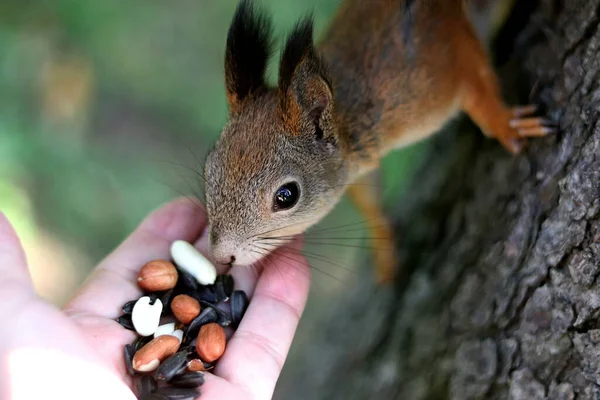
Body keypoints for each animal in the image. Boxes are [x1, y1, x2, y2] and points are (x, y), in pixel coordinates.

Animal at [200, 0, 552, 282]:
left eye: (286, 196)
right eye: (208, 170)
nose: (221, 257)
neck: (350, 116)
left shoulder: (441, 57)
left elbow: (476, 85)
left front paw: (507, 126)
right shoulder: (355, 168)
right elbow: (368, 197)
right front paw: (384, 247)